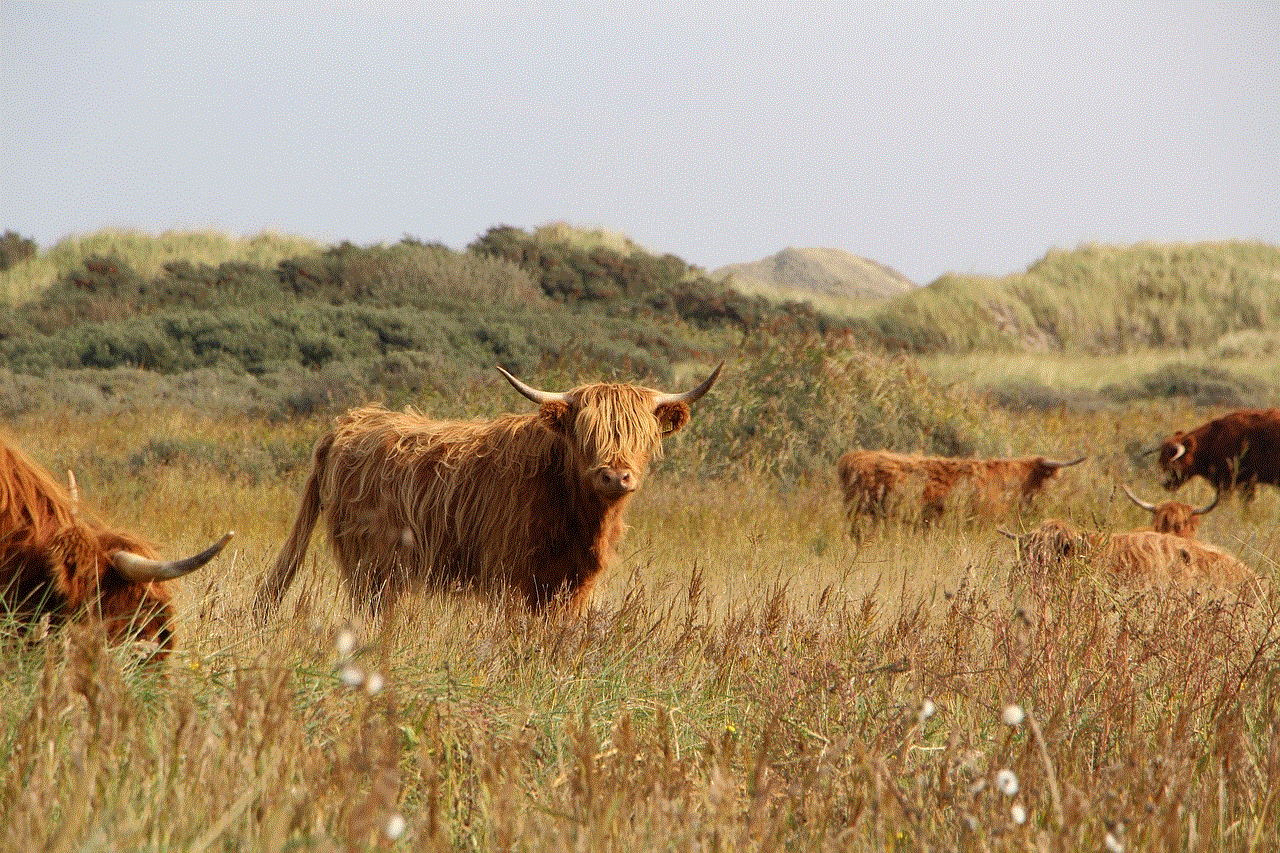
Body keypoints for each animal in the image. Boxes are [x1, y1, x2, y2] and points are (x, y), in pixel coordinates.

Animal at [254, 361, 727, 614]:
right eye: (585, 434)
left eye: (640, 436)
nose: (614, 476)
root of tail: (349, 423)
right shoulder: (511, 577)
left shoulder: (573, 586)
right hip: (373, 567)